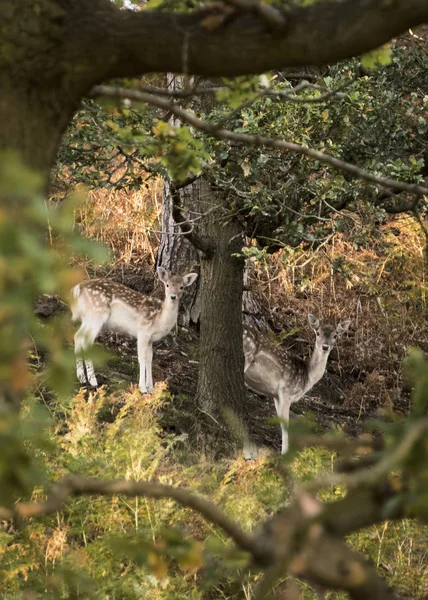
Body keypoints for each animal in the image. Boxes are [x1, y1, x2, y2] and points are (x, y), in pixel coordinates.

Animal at [242, 316, 350, 452]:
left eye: (335, 335)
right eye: (317, 333)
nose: (325, 347)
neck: (307, 377)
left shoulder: (276, 395)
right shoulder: (286, 391)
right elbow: (285, 424)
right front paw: (284, 453)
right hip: (246, 356)